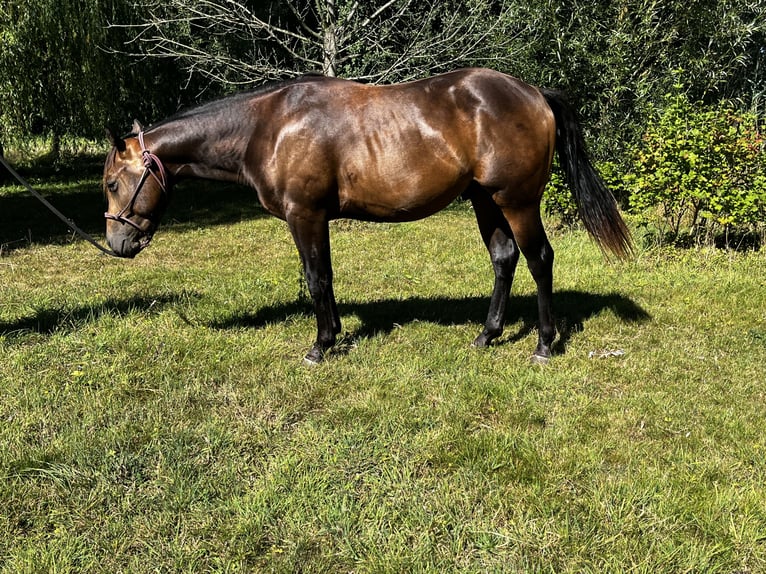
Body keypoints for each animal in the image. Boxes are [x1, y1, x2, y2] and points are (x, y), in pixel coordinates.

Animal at [103, 68, 631, 364]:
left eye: (111, 184)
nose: (117, 244)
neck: (267, 128)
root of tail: (534, 94)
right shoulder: (317, 218)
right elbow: (326, 277)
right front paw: (334, 333)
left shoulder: (305, 215)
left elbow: (316, 277)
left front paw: (321, 345)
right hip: (485, 200)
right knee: (504, 258)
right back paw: (487, 335)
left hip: (516, 200)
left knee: (539, 258)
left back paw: (543, 344)